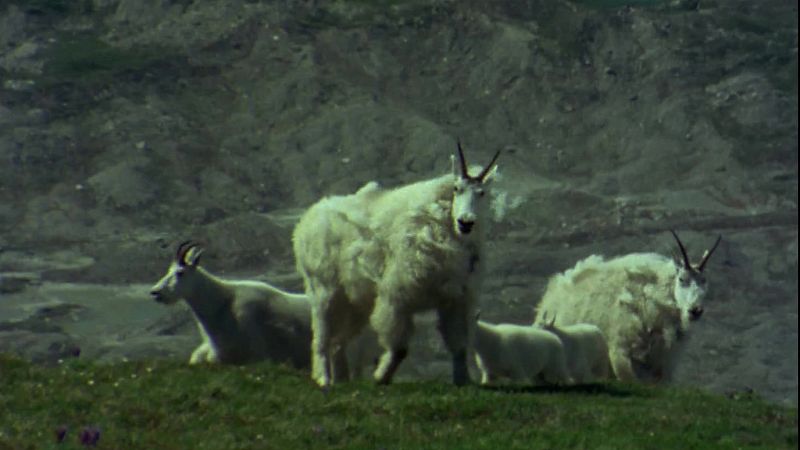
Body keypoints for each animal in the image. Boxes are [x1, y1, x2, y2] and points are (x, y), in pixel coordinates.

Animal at [290, 142, 496, 386]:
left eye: (482, 193)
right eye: (457, 189)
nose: (466, 222)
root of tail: (306, 222)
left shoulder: (456, 300)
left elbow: (459, 345)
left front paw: (463, 380)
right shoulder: (397, 296)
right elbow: (399, 348)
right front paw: (380, 376)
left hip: (356, 302)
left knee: (338, 342)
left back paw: (342, 378)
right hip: (324, 288)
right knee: (322, 336)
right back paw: (324, 379)